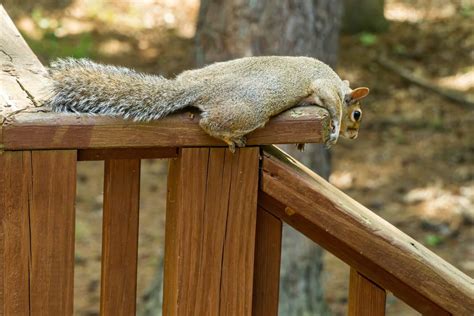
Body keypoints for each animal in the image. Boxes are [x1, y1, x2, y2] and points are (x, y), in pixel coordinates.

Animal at [48, 55, 368, 152]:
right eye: (357, 114)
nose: (355, 136)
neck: (339, 83)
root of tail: (195, 87)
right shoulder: (324, 86)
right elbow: (331, 107)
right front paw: (335, 130)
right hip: (251, 112)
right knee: (208, 123)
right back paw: (229, 138)